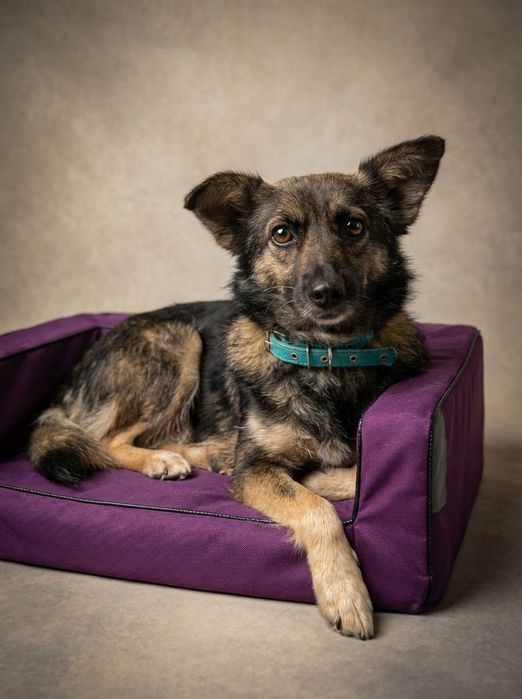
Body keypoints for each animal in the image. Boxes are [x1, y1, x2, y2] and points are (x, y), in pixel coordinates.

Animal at [29, 135, 445, 639]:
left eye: (353, 226)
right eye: (282, 234)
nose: (325, 292)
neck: (326, 355)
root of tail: (78, 368)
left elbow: (355, 470)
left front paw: (324, 478)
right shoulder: (255, 468)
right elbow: (314, 507)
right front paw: (345, 594)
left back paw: (203, 454)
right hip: (179, 341)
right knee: (105, 438)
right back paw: (162, 460)